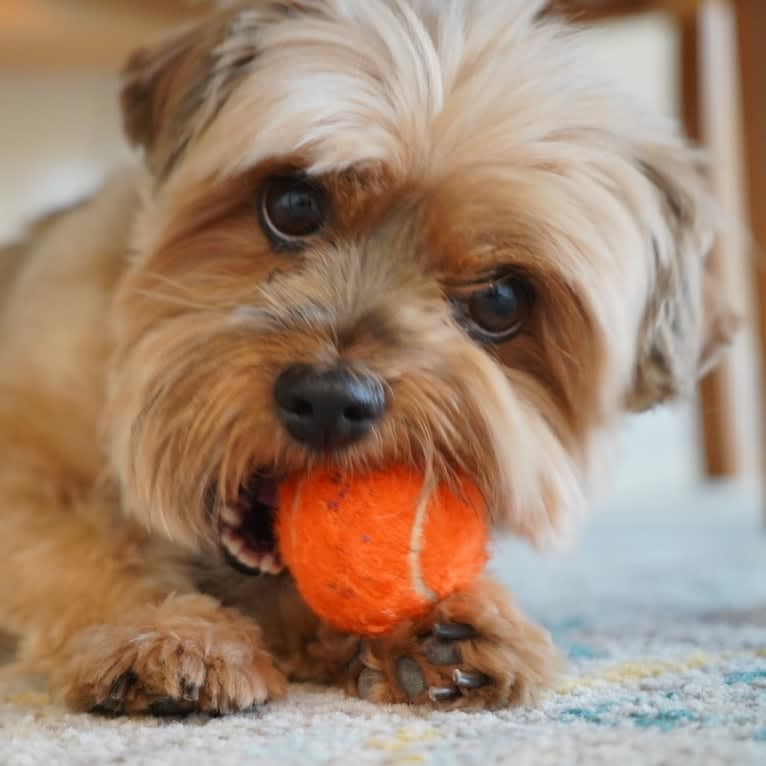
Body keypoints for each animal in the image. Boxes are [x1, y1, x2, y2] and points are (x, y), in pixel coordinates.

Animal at [0, 1, 736, 720]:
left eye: (502, 300)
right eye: (293, 203)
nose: (329, 400)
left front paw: (439, 620)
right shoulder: (31, 465)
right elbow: (86, 544)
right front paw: (161, 630)